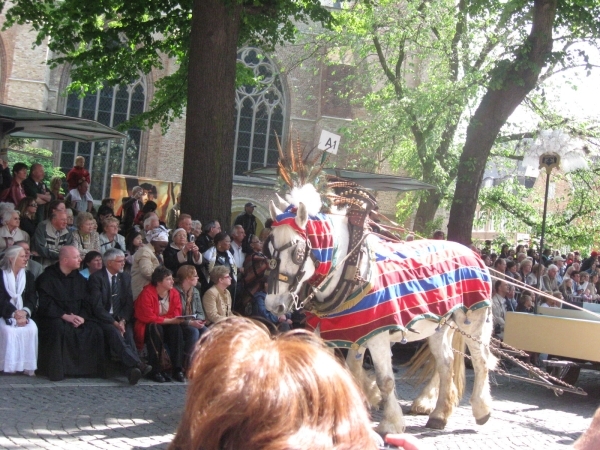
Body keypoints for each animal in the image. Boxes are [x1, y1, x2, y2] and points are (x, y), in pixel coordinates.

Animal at [264, 185, 494, 432]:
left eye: (297, 253)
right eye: (268, 250)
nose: (273, 305)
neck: (352, 268)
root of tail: (471, 252)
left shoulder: (377, 334)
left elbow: (385, 380)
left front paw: (390, 422)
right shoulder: (347, 332)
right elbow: (342, 370)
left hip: (474, 320)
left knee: (480, 360)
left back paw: (481, 409)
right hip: (440, 326)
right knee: (445, 362)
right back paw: (439, 413)